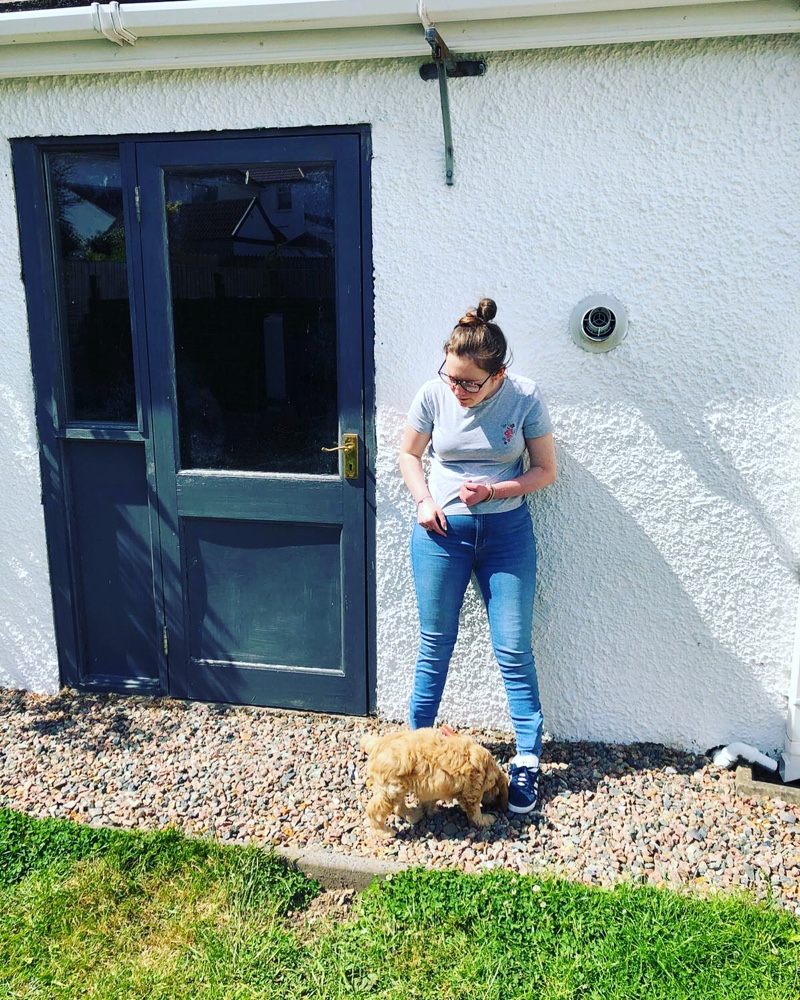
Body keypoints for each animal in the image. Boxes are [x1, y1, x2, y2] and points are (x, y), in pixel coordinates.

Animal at [359, 727, 508, 838]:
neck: (489, 770)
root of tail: (379, 744)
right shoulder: (472, 792)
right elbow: (475, 811)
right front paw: (484, 820)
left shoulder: (434, 785)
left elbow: (430, 800)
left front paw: (431, 811)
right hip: (390, 788)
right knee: (374, 810)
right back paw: (383, 832)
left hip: (397, 786)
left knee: (398, 806)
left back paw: (412, 815)